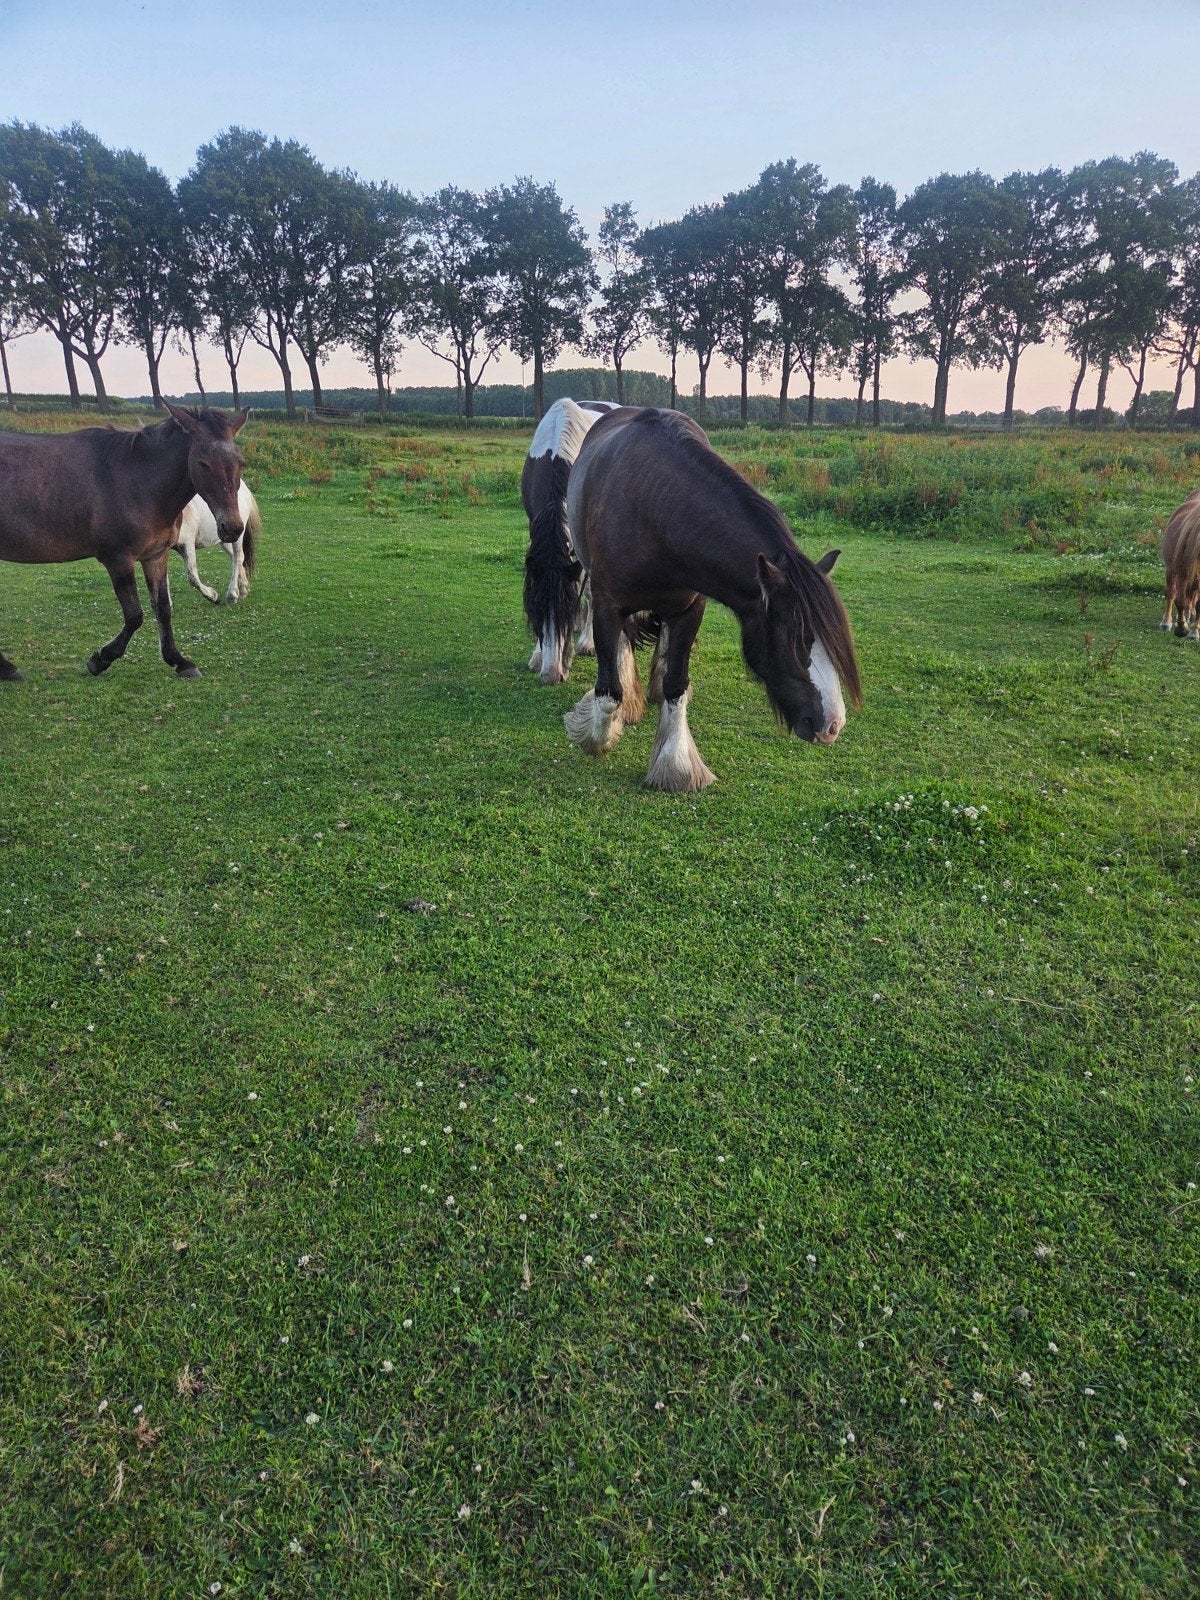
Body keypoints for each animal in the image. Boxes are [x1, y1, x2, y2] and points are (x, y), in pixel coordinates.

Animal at [0, 402, 247, 681]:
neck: (133, 480)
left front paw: (179, 661)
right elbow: (134, 615)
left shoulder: (155, 556)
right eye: (203, 463)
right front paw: (101, 659)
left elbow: (163, 609)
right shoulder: (118, 559)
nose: (232, 528)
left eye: (241, 462)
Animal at [522, 397, 623, 684]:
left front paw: (586, 643)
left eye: (566, 611)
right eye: (536, 611)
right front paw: (537, 656)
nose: (551, 675)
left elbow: (587, 591)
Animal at [562, 407, 862, 791]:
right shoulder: (607, 606)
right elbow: (608, 688)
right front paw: (598, 736)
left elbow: (676, 684)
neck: (655, 510)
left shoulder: (690, 609)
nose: (832, 725)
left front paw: (676, 765)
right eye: (795, 641)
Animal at [1161, 487, 1200, 638]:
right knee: (1171, 593)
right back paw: (1166, 622)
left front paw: (1194, 631)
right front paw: (1182, 628)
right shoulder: (1184, 572)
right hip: (1171, 569)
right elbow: (1180, 600)